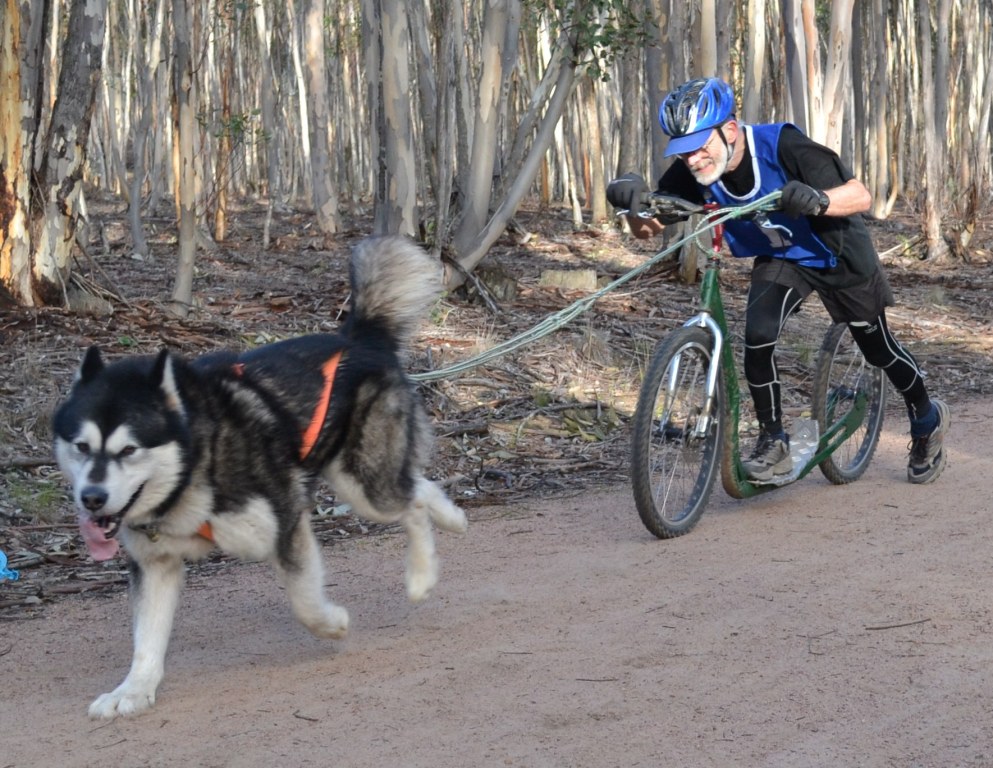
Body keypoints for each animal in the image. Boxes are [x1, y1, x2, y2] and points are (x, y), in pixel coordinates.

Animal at [54, 236, 468, 720]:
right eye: (81, 446)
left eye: (128, 450)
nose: (92, 498)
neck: (197, 462)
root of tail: (359, 335)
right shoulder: (156, 563)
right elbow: (146, 641)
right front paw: (133, 690)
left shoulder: (285, 522)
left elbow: (305, 601)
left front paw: (334, 624)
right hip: (349, 473)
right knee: (418, 486)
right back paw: (452, 519)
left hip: (363, 484)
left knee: (411, 503)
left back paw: (421, 575)